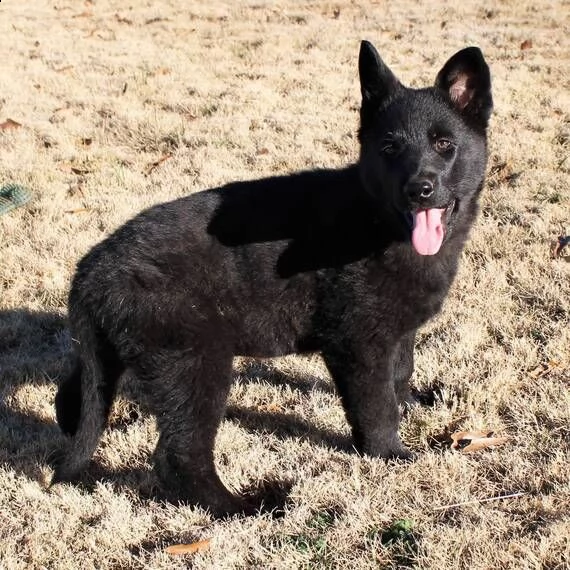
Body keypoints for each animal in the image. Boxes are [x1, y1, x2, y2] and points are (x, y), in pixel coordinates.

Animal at [53, 41, 490, 516]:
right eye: (389, 149)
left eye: (444, 144)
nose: (419, 189)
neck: (379, 223)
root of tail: (92, 271)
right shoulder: (357, 344)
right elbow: (377, 406)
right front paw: (389, 453)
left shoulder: (395, 331)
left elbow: (401, 372)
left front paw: (413, 402)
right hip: (195, 364)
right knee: (179, 456)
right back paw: (242, 507)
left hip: (116, 357)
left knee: (77, 397)